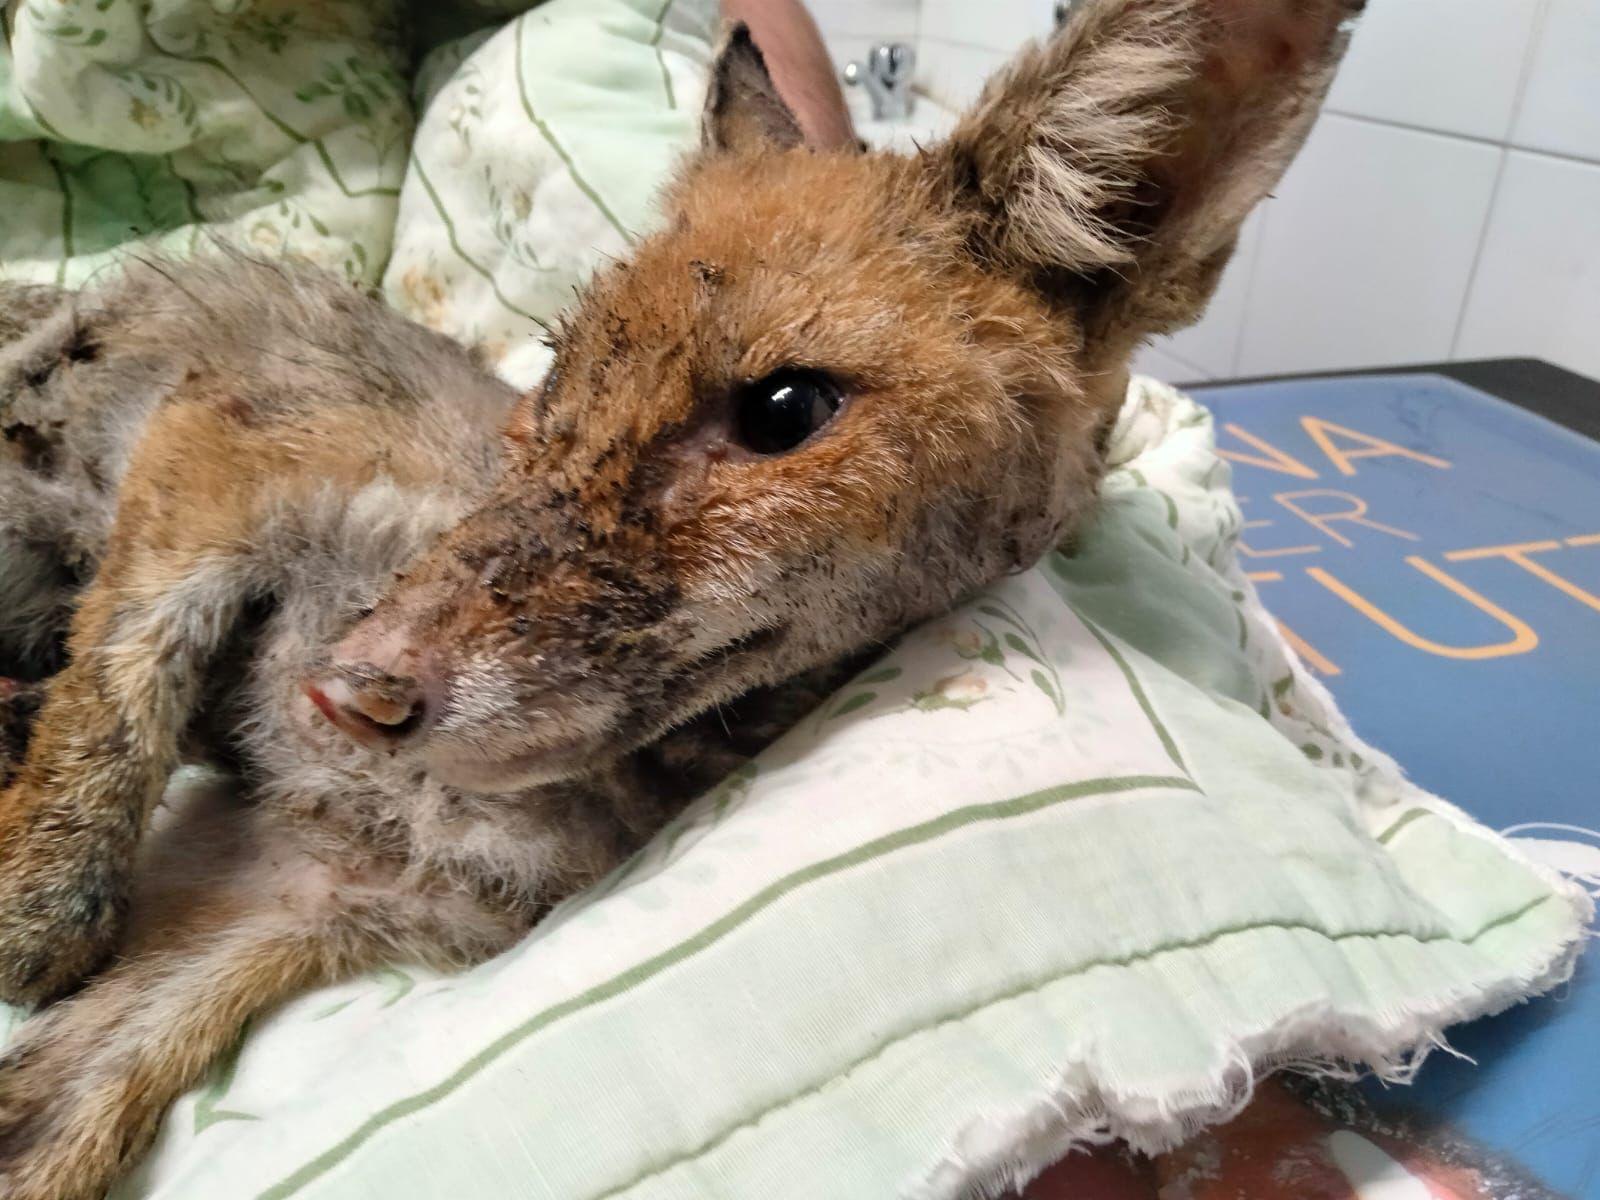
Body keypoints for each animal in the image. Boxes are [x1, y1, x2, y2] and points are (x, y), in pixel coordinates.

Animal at [0, 1, 1360, 1195]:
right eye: (559, 382)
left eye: (783, 411)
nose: (346, 690)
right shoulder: (224, 463)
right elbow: (114, 702)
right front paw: (37, 901)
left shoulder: (308, 893)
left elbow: (65, 1118)